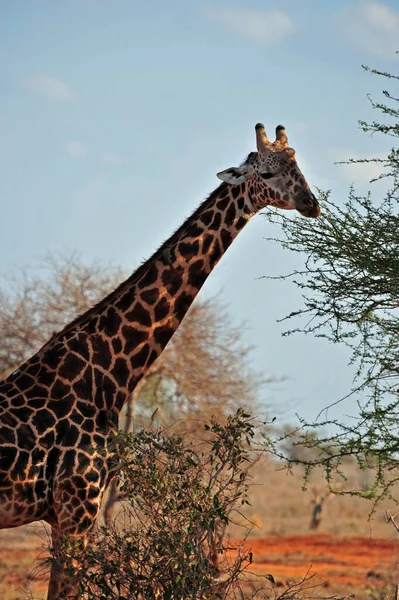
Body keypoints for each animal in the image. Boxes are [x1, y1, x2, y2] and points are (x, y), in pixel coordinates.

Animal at [0, 122, 320, 596]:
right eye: (266, 170)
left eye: (297, 163)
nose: (310, 203)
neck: (108, 378)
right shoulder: (76, 510)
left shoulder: (68, 515)